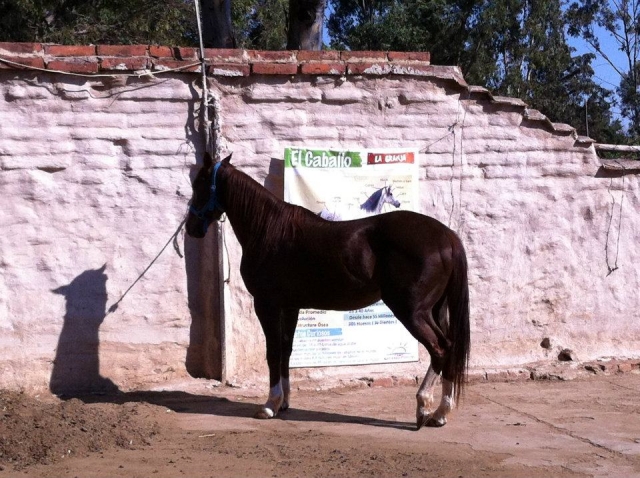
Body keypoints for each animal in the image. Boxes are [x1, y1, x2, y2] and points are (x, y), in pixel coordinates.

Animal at [186, 153, 470, 429]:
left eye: (199, 184)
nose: (191, 228)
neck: (269, 230)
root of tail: (447, 237)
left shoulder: (267, 304)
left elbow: (273, 352)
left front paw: (269, 405)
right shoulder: (290, 306)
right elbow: (286, 350)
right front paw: (284, 403)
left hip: (412, 311)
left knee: (440, 349)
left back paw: (423, 407)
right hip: (435, 309)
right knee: (450, 347)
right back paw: (440, 414)